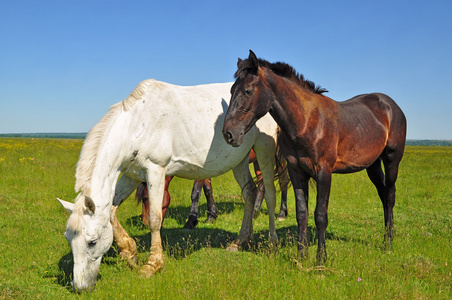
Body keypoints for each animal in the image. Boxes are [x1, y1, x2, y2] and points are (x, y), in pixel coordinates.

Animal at [57, 78, 278, 292]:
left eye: (92, 242)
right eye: (69, 239)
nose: (80, 287)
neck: (137, 124)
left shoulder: (155, 171)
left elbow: (155, 219)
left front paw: (152, 264)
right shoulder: (132, 176)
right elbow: (111, 210)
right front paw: (129, 251)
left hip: (264, 150)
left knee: (268, 192)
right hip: (239, 160)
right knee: (249, 193)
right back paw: (241, 241)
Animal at [222, 50, 406, 264]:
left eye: (248, 91)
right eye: (232, 90)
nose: (229, 134)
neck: (307, 121)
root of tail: (391, 105)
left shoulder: (323, 173)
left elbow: (320, 215)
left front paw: (321, 259)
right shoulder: (297, 171)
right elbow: (302, 213)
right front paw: (301, 256)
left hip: (392, 160)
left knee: (390, 196)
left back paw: (388, 243)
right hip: (373, 165)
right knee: (383, 195)